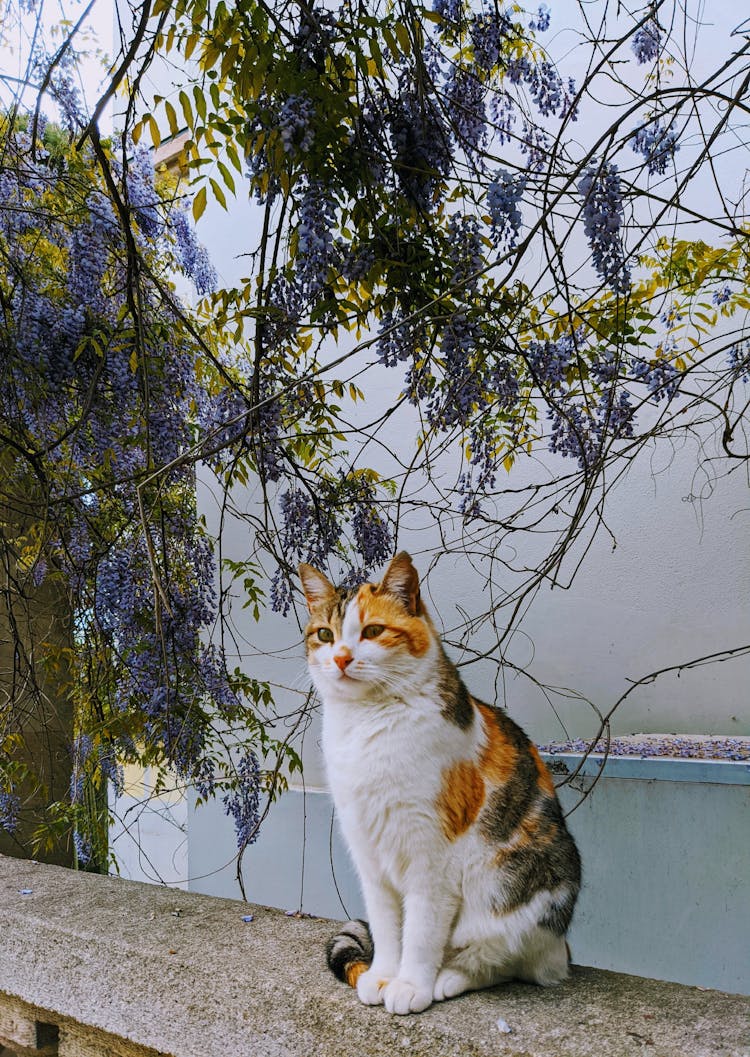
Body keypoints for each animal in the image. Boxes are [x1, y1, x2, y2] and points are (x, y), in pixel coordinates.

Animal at [300, 553, 583, 1014]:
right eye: (325, 635)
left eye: (373, 631)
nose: (340, 658)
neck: (366, 725)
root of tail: (562, 948)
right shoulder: (368, 852)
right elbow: (387, 927)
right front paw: (383, 975)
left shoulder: (430, 857)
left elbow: (420, 931)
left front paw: (410, 985)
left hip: (516, 895)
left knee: (504, 962)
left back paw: (446, 979)